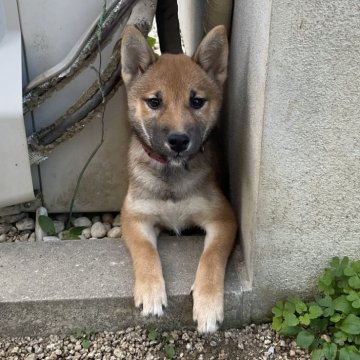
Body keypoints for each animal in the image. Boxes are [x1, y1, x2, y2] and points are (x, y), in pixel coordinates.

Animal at [121, 24, 238, 332]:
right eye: (154, 102)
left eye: (196, 101)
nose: (178, 140)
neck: (172, 174)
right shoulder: (134, 218)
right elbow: (145, 253)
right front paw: (151, 293)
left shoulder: (223, 219)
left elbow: (211, 258)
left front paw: (208, 304)